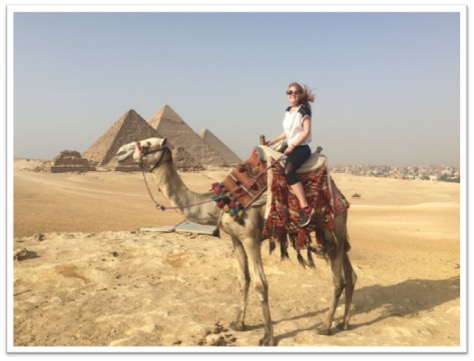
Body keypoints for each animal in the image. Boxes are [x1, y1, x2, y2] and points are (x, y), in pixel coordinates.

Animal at [116, 136, 358, 344]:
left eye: (147, 144)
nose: (119, 153)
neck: (217, 204)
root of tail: (339, 193)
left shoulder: (251, 238)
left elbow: (261, 283)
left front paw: (268, 337)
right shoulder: (235, 239)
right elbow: (244, 279)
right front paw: (238, 324)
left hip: (332, 229)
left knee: (339, 279)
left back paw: (326, 327)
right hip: (337, 231)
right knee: (350, 275)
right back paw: (344, 323)